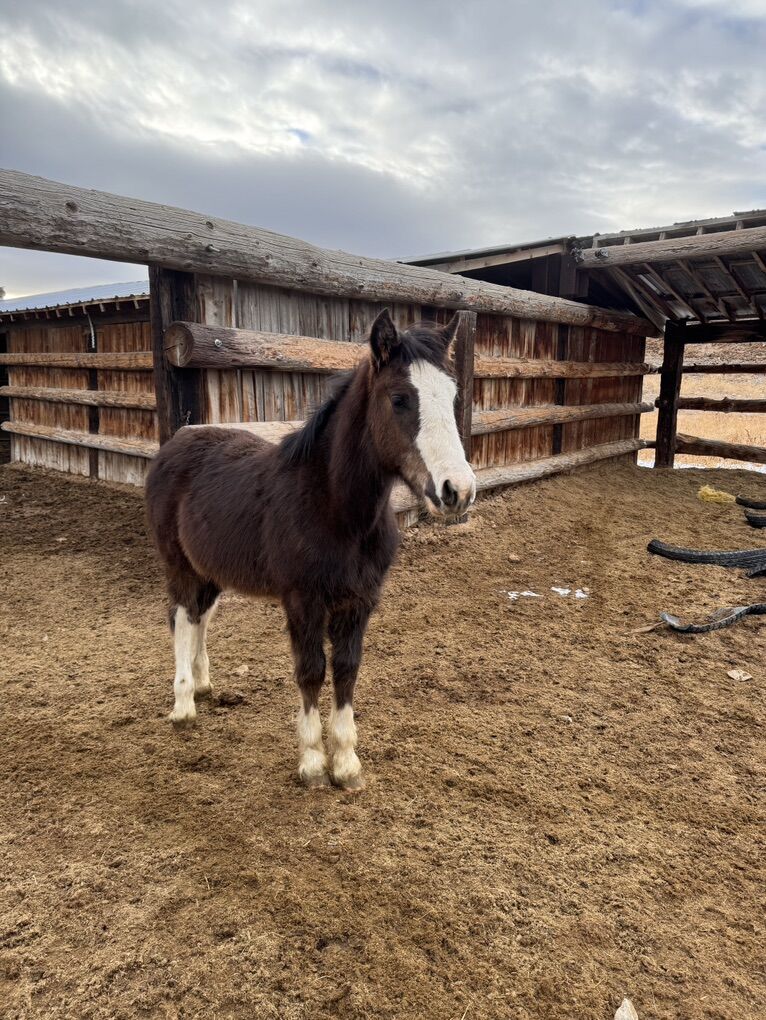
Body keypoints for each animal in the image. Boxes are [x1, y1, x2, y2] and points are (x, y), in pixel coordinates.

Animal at [145, 309, 476, 790]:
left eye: (452, 397)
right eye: (399, 399)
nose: (459, 491)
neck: (332, 507)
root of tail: (174, 443)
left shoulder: (360, 601)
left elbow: (347, 669)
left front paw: (347, 763)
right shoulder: (303, 600)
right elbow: (311, 670)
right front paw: (314, 764)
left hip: (210, 569)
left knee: (200, 615)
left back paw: (204, 686)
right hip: (179, 566)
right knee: (181, 617)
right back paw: (184, 704)